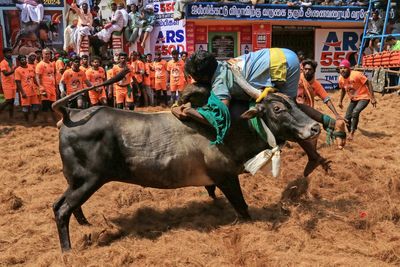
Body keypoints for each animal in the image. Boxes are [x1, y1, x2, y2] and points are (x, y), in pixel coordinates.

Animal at [50, 78, 318, 253]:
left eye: (295, 102)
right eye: (278, 109)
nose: (314, 127)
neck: (232, 127)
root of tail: (70, 113)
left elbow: (213, 193)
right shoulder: (227, 177)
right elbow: (242, 208)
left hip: (76, 181)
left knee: (61, 205)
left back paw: (86, 226)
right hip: (88, 180)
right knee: (62, 210)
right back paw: (68, 251)